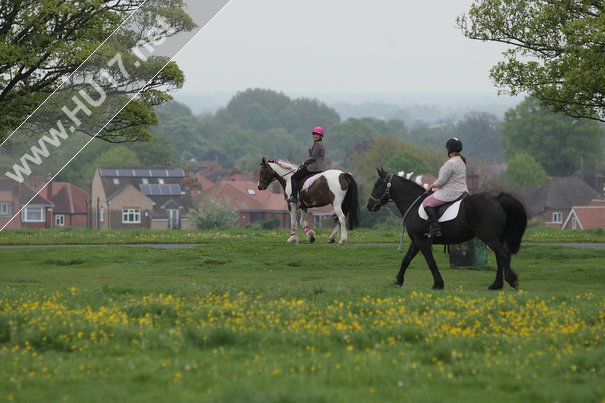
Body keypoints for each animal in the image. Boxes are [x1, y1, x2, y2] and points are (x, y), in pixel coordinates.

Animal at [366, 169, 528, 292]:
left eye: (377, 184)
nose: (369, 206)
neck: (414, 204)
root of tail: (498, 197)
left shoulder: (421, 241)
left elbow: (431, 262)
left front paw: (438, 284)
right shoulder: (416, 241)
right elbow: (406, 260)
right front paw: (398, 281)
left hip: (489, 237)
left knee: (504, 255)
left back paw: (511, 280)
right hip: (496, 237)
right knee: (500, 258)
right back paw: (496, 285)